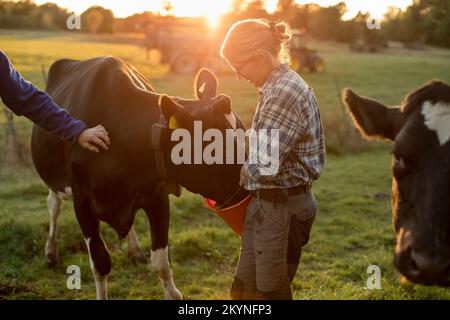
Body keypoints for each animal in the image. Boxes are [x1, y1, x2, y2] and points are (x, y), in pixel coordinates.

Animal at [30, 56, 250, 298]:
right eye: (215, 149)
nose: (248, 192)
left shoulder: (157, 197)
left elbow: (161, 263)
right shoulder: (82, 202)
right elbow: (100, 262)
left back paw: (134, 251)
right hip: (55, 180)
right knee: (54, 205)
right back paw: (50, 251)